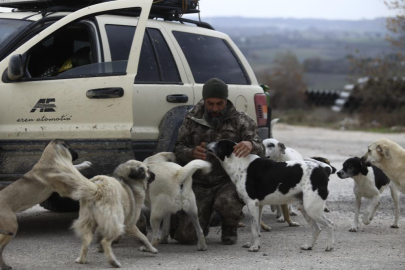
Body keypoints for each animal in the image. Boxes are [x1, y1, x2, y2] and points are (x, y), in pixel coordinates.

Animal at [0, 139, 90, 270]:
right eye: (70, 148)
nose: (78, 155)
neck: (47, 160)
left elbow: (72, 169)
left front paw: (84, 164)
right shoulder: (64, 190)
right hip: (11, 226)